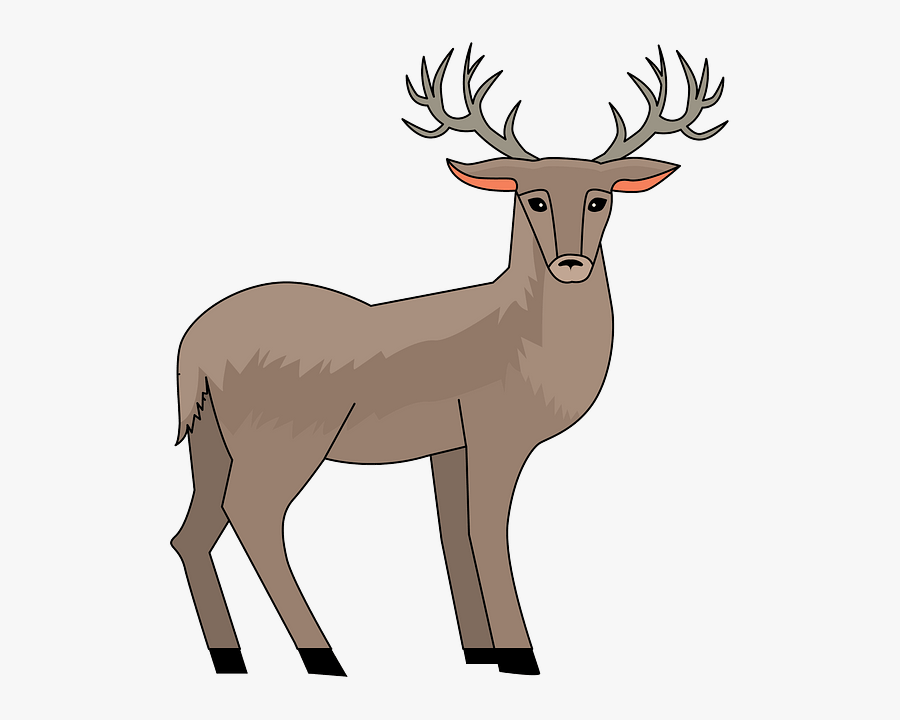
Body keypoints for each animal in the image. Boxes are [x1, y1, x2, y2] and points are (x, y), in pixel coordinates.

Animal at [171, 44, 726, 676]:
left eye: (599, 197)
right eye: (532, 197)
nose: (571, 262)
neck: (525, 341)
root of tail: (195, 345)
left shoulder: (448, 443)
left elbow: (452, 535)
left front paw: (480, 652)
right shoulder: (495, 428)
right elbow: (485, 530)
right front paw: (521, 653)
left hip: (210, 437)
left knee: (193, 532)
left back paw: (230, 656)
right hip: (285, 432)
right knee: (255, 516)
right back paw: (324, 656)